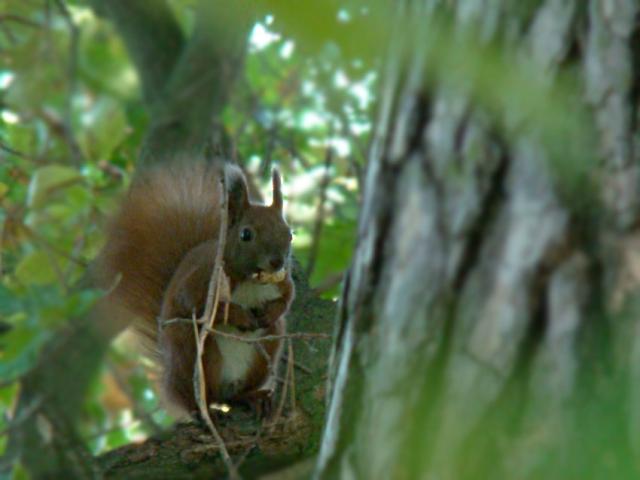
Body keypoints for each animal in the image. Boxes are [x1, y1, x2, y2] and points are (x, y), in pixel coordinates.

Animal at [99, 162, 296, 416]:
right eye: (246, 234)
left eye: (289, 233)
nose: (277, 262)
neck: (251, 279)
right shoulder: (203, 278)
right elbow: (196, 305)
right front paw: (238, 315)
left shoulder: (283, 283)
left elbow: (287, 299)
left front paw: (271, 312)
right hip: (194, 353)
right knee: (201, 398)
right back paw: (205, 411)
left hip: (266, 350)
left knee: (233, 394)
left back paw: (251, 396)